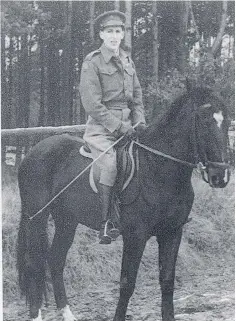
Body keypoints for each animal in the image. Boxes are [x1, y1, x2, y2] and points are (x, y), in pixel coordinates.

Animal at [17, 85, 230, 320]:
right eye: (204, 121)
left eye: (227, 122)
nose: (221, 176)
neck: (157, 168)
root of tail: (34, 151)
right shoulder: (135, 236)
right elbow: (127, 284)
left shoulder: (172, 232)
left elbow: (167, 281)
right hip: (36, 218)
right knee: (34, 264)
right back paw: (36, 314)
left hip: (67, 220)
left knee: (56, 260)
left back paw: (68, 313)